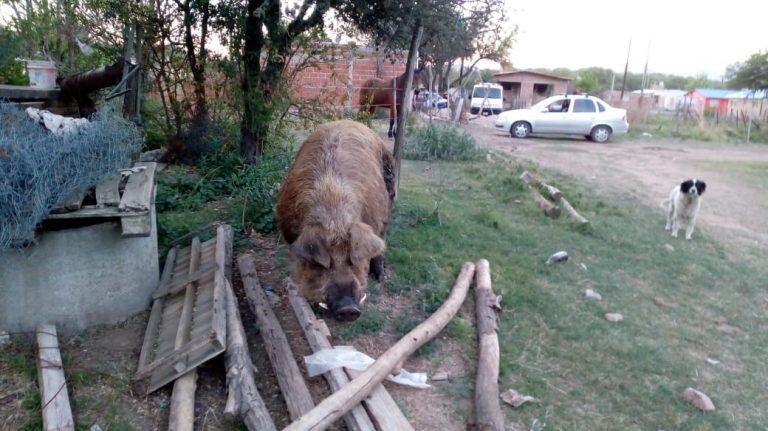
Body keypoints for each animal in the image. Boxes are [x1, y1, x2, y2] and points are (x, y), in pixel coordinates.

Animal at [276, 120, 396, 322]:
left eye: (352, 260)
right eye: (325, 263)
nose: (348, 309)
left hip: (389, 196)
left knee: (382, 240)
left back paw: (379, 277)